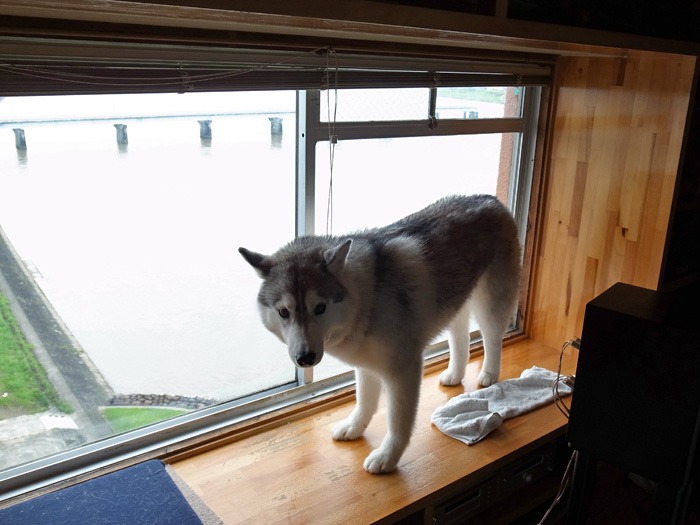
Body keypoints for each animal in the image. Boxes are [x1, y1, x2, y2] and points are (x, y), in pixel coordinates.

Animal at [239, 194, 520, 472]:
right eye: (283, 312)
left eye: (319, 308)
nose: (305, 359)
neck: (366, 298)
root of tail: (490, 199)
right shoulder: (365, 363)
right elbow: (364, 401)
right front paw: (354, 427)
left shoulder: (404, 370)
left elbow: (398, 421)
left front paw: (388, 457)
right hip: (454, 304)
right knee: (460, 337)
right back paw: (454, 373)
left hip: (489, 306)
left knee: (492, 338)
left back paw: (489, 374)